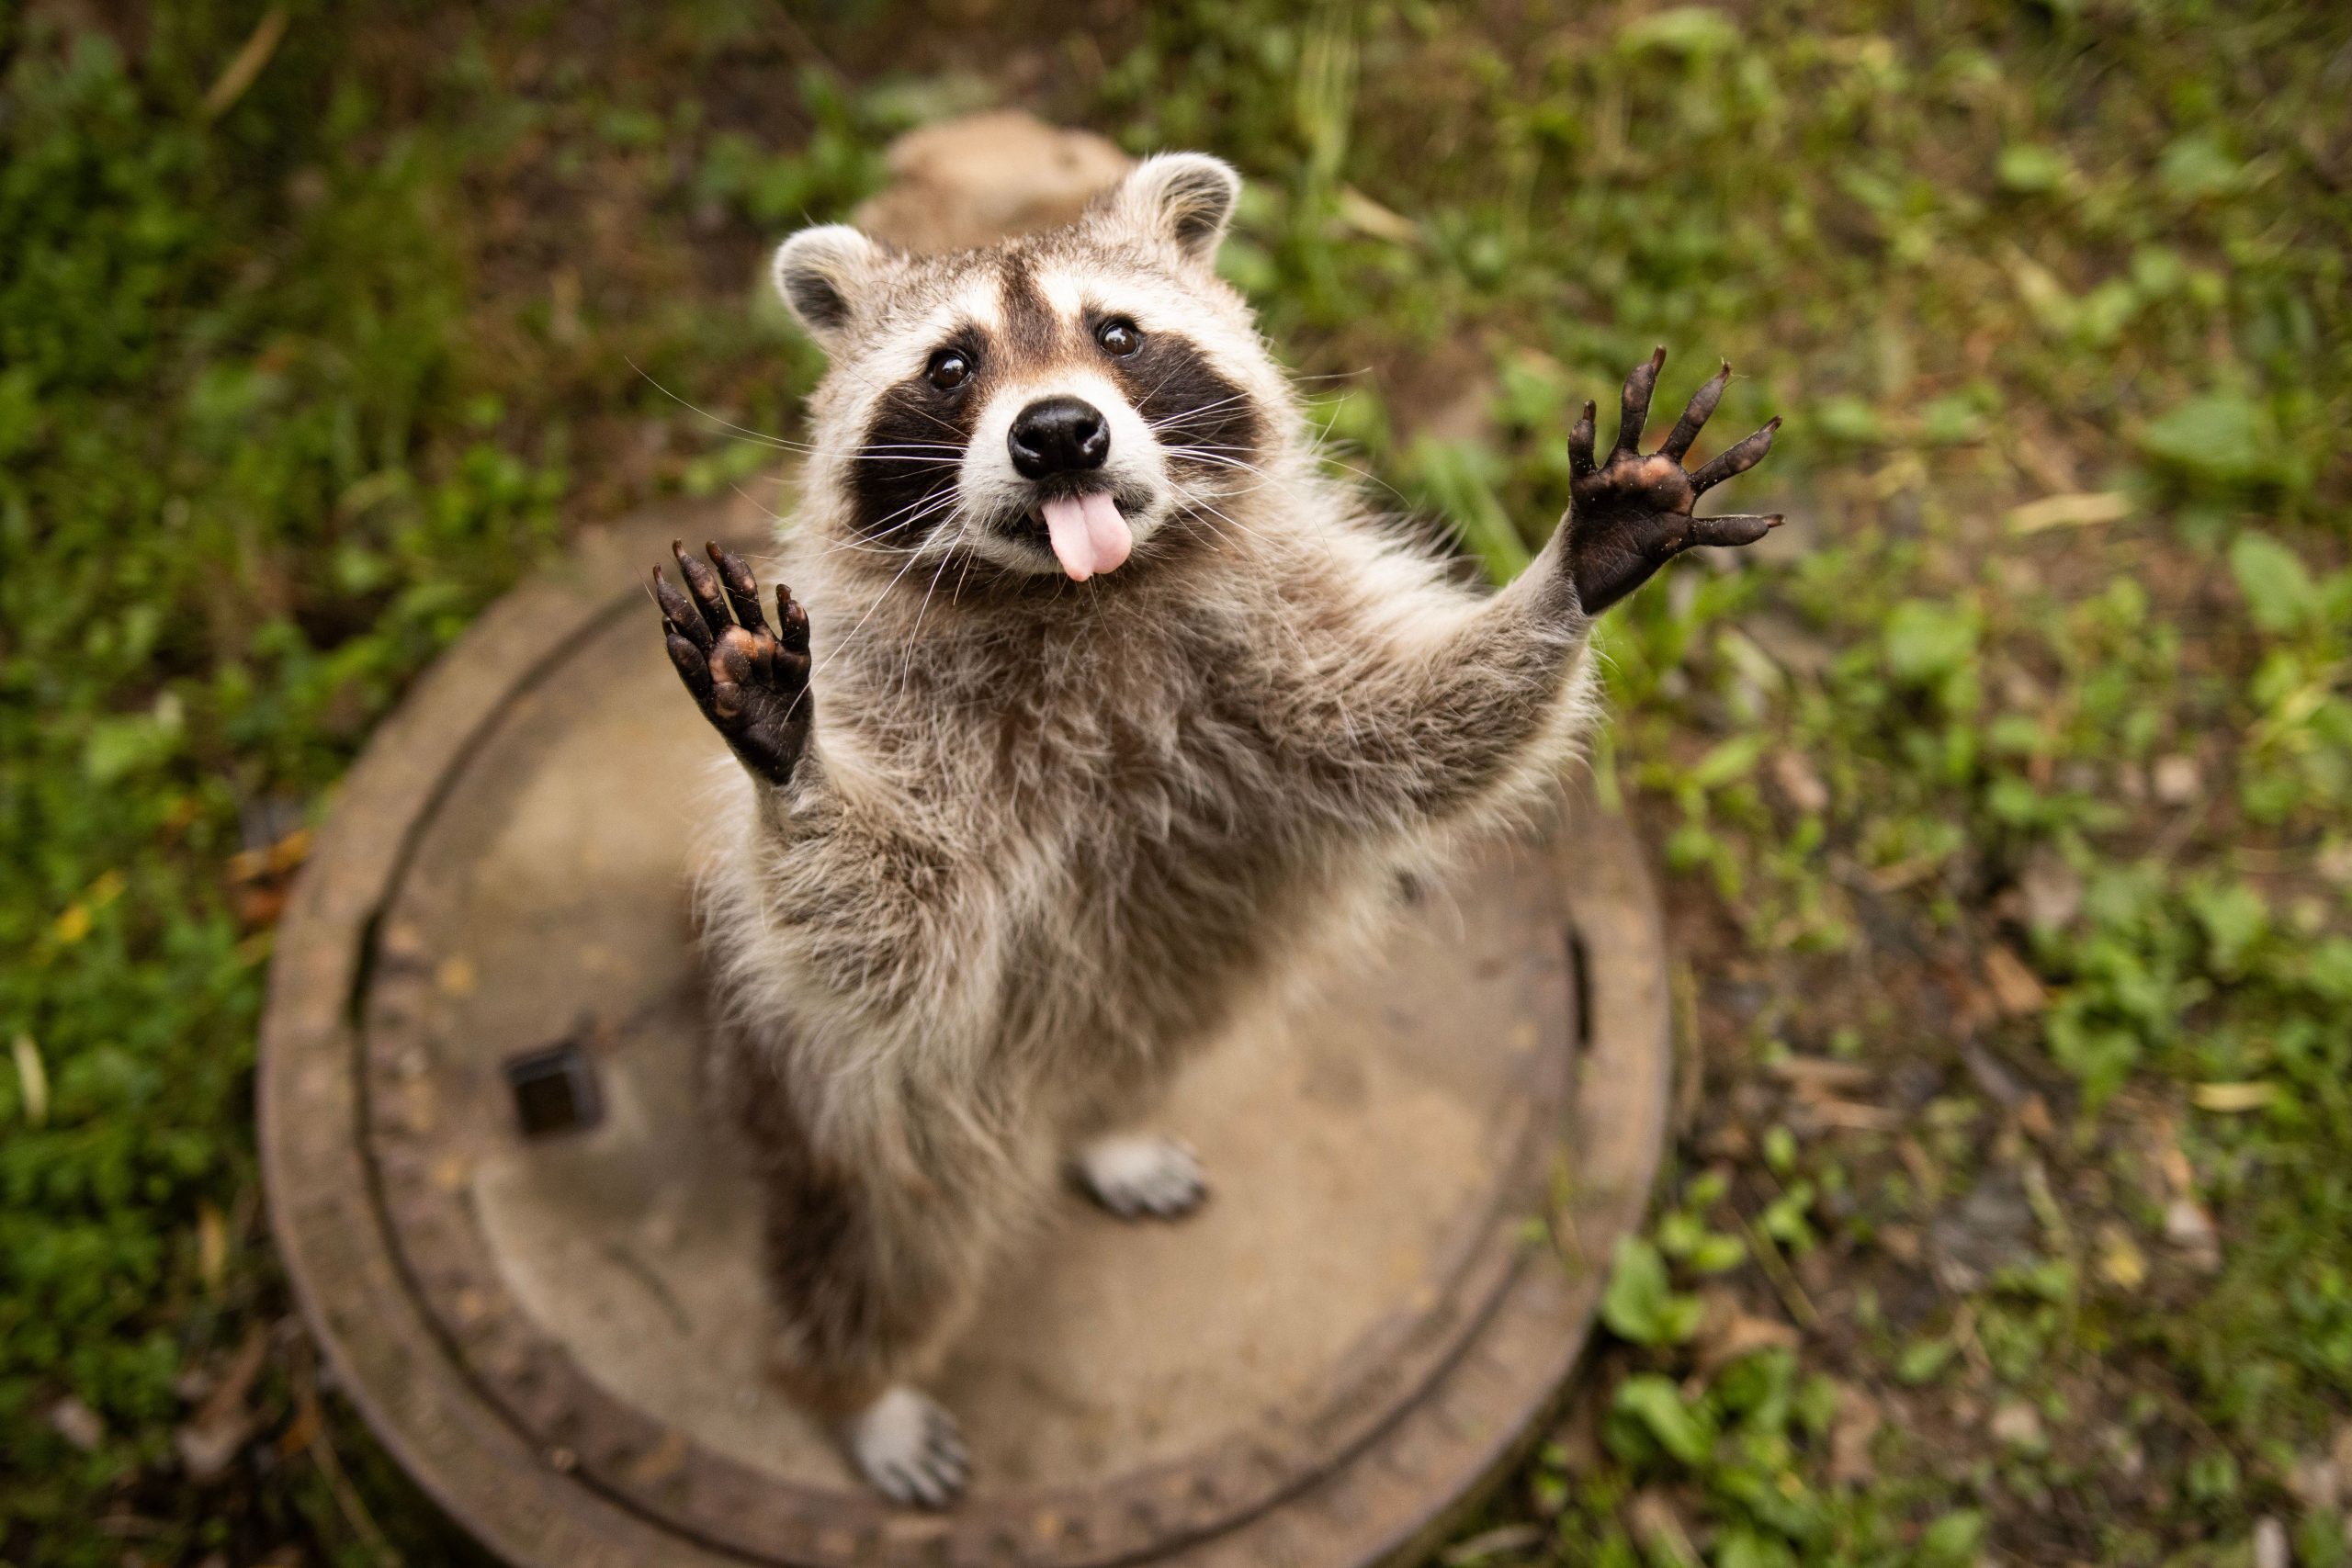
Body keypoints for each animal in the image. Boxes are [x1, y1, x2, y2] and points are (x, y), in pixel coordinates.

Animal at [648, 153, 1781, 1505]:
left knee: (1147, 1037)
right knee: (882, 1248)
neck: (1085, 592)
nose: (1059, 433)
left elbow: (1418, 730)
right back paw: (863, 1388)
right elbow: (888, 934)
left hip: (1168, 991)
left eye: (1119, 334)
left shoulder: (1284, 641)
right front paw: (793, 757)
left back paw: (1109, 1124)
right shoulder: (905, 725)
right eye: (952, 365)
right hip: (854, 1116)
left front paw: (1579, 559)